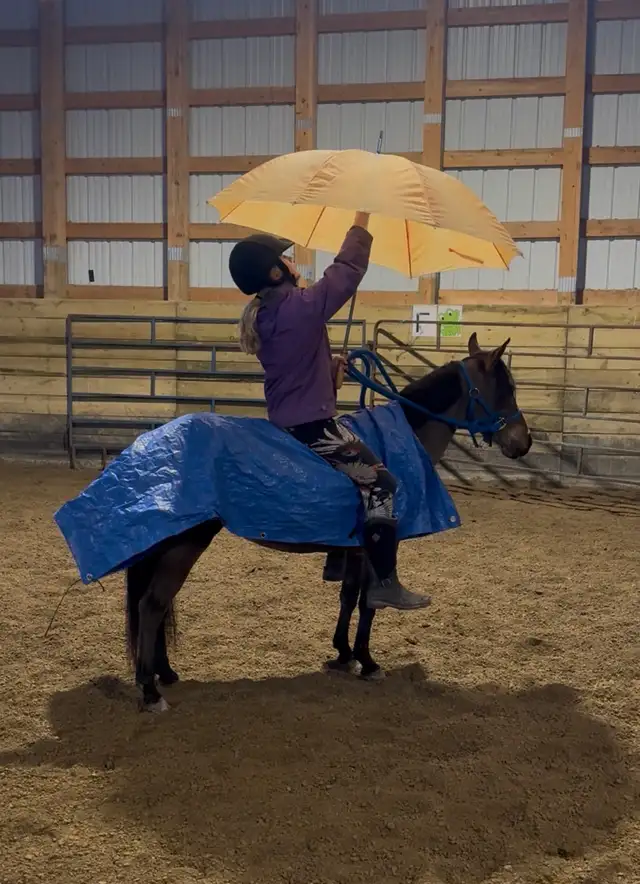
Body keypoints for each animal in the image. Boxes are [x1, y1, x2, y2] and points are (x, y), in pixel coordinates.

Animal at [125, 333, 532, 712]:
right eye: (507, 388)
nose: (523, 442)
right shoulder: (374, 548)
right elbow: (369, 602)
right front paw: (367, 661)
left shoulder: (353, 548)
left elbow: (348, 596)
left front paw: (344, 654)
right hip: (183, 546)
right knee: (152, 605)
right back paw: (150, 690)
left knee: (158, 606)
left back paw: (164, 672)